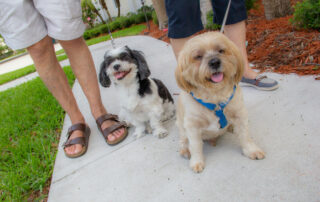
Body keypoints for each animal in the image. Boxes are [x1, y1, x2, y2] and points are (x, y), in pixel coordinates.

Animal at [175, 30, 264, 173]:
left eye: (221, 50)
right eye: (198, 56)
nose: (215, 62)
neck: (215, 97)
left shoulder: (240, 114)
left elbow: (245, 135)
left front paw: (251, 150)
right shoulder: (192, 126)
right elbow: (195, 146)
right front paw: (196, 161)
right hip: (181, 124)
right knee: (183, 139)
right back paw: (184, 149)